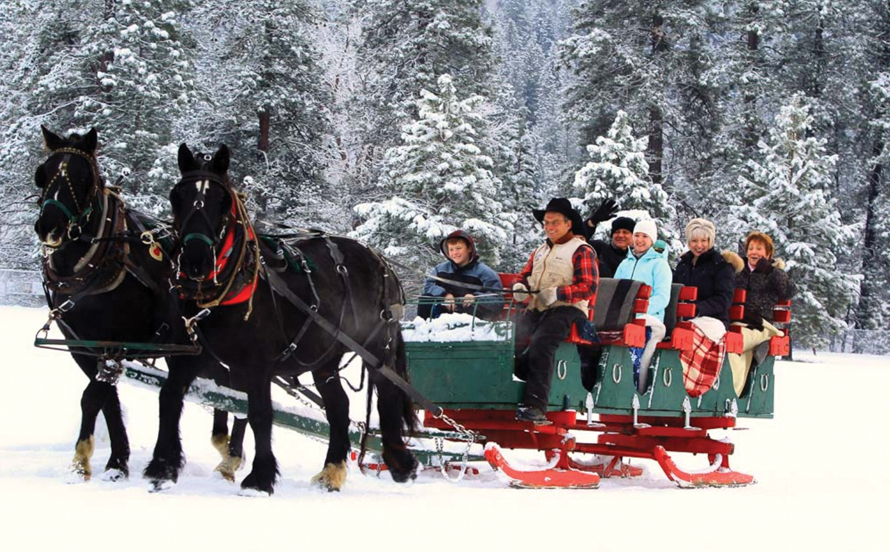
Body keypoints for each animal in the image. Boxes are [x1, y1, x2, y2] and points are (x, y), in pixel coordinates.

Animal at [34, 127, 246, 480]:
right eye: (44, 172)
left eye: (83, 177)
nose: (49, 226)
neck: (100, 262)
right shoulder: (83, 347)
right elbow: (106, 400)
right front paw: (114, 462)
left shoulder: (118, 343)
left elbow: (93, 396)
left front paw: (86, 459)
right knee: (227, 389)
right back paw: (223, 445)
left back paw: (231, 456)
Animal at [147, 144, 420, 494]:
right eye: (176, 195)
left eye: (221, 200)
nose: (196, 260)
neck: (226, 288)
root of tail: (380, 260)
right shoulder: (188, 357)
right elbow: (169, 399)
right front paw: (162, 468)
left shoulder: (257, 364)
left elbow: (260, 413)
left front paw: (259, 478)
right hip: (325, 358)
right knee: (339, 407)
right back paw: (332, 472)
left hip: (376, 350)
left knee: (387, 397)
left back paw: (400, 463)